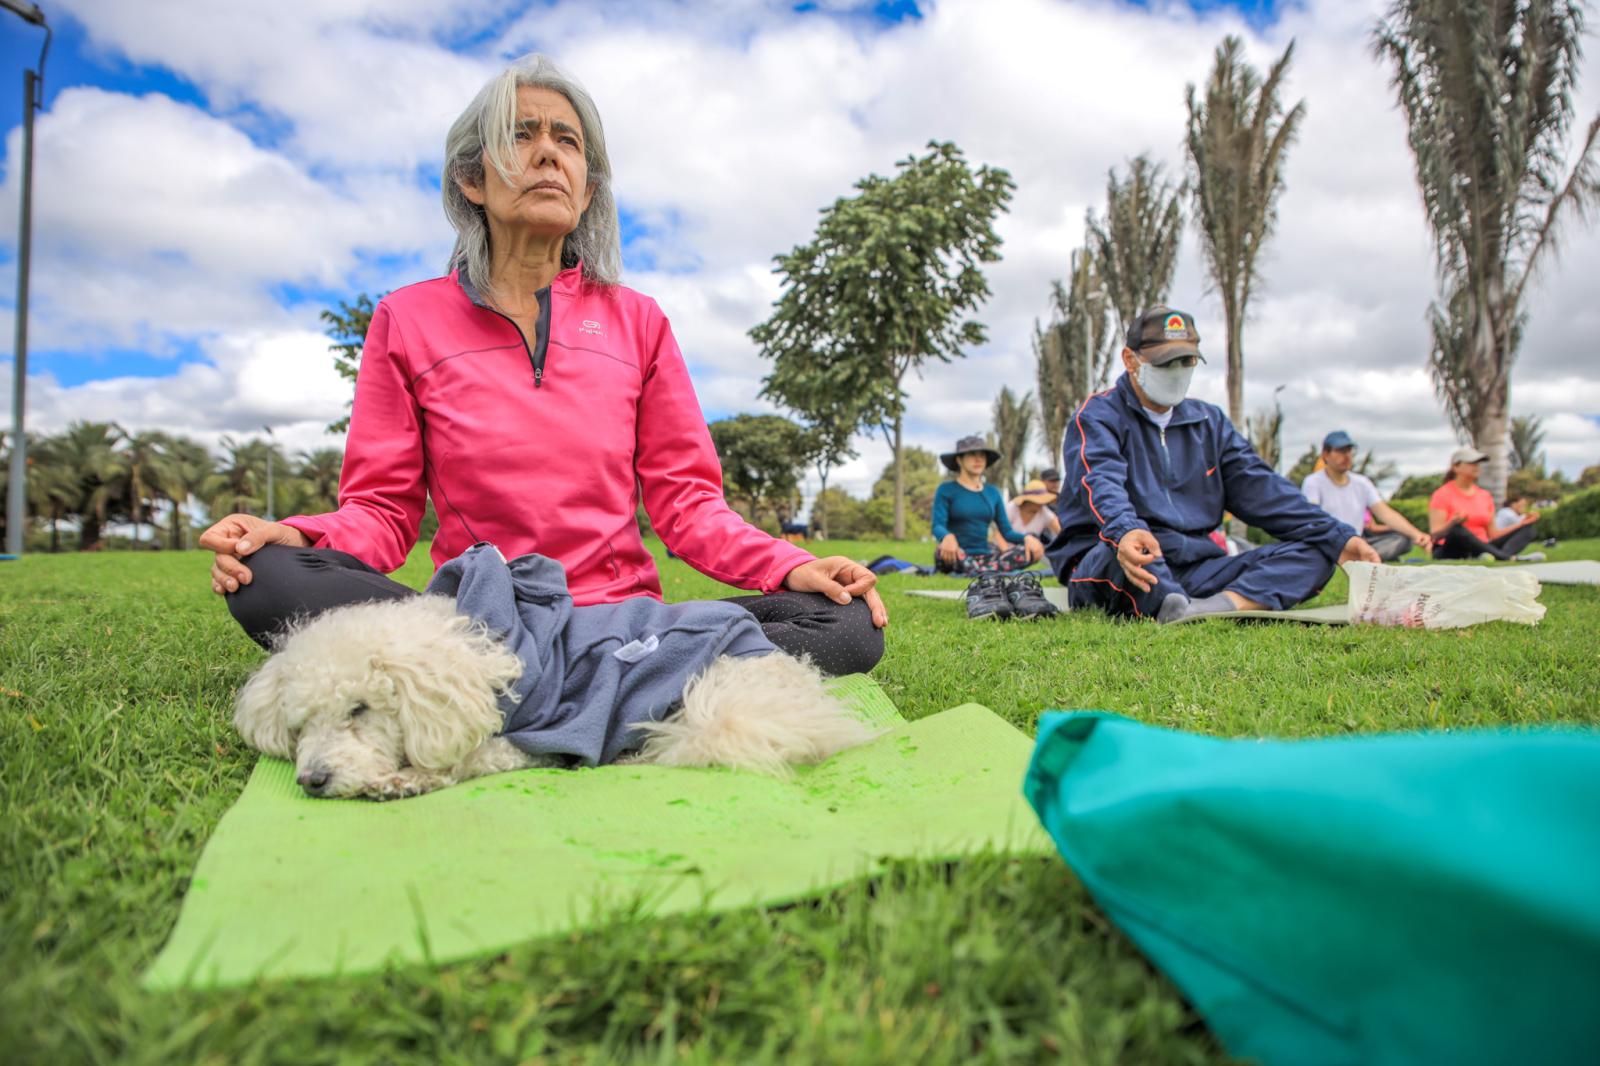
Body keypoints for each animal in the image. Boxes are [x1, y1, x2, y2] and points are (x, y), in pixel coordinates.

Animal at [233, 592, 876, 793]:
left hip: (710, 703)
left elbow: (476, 756)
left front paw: (407, 778)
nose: (311, 780)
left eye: (360, 709)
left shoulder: (540, 736)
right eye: (299, 726)